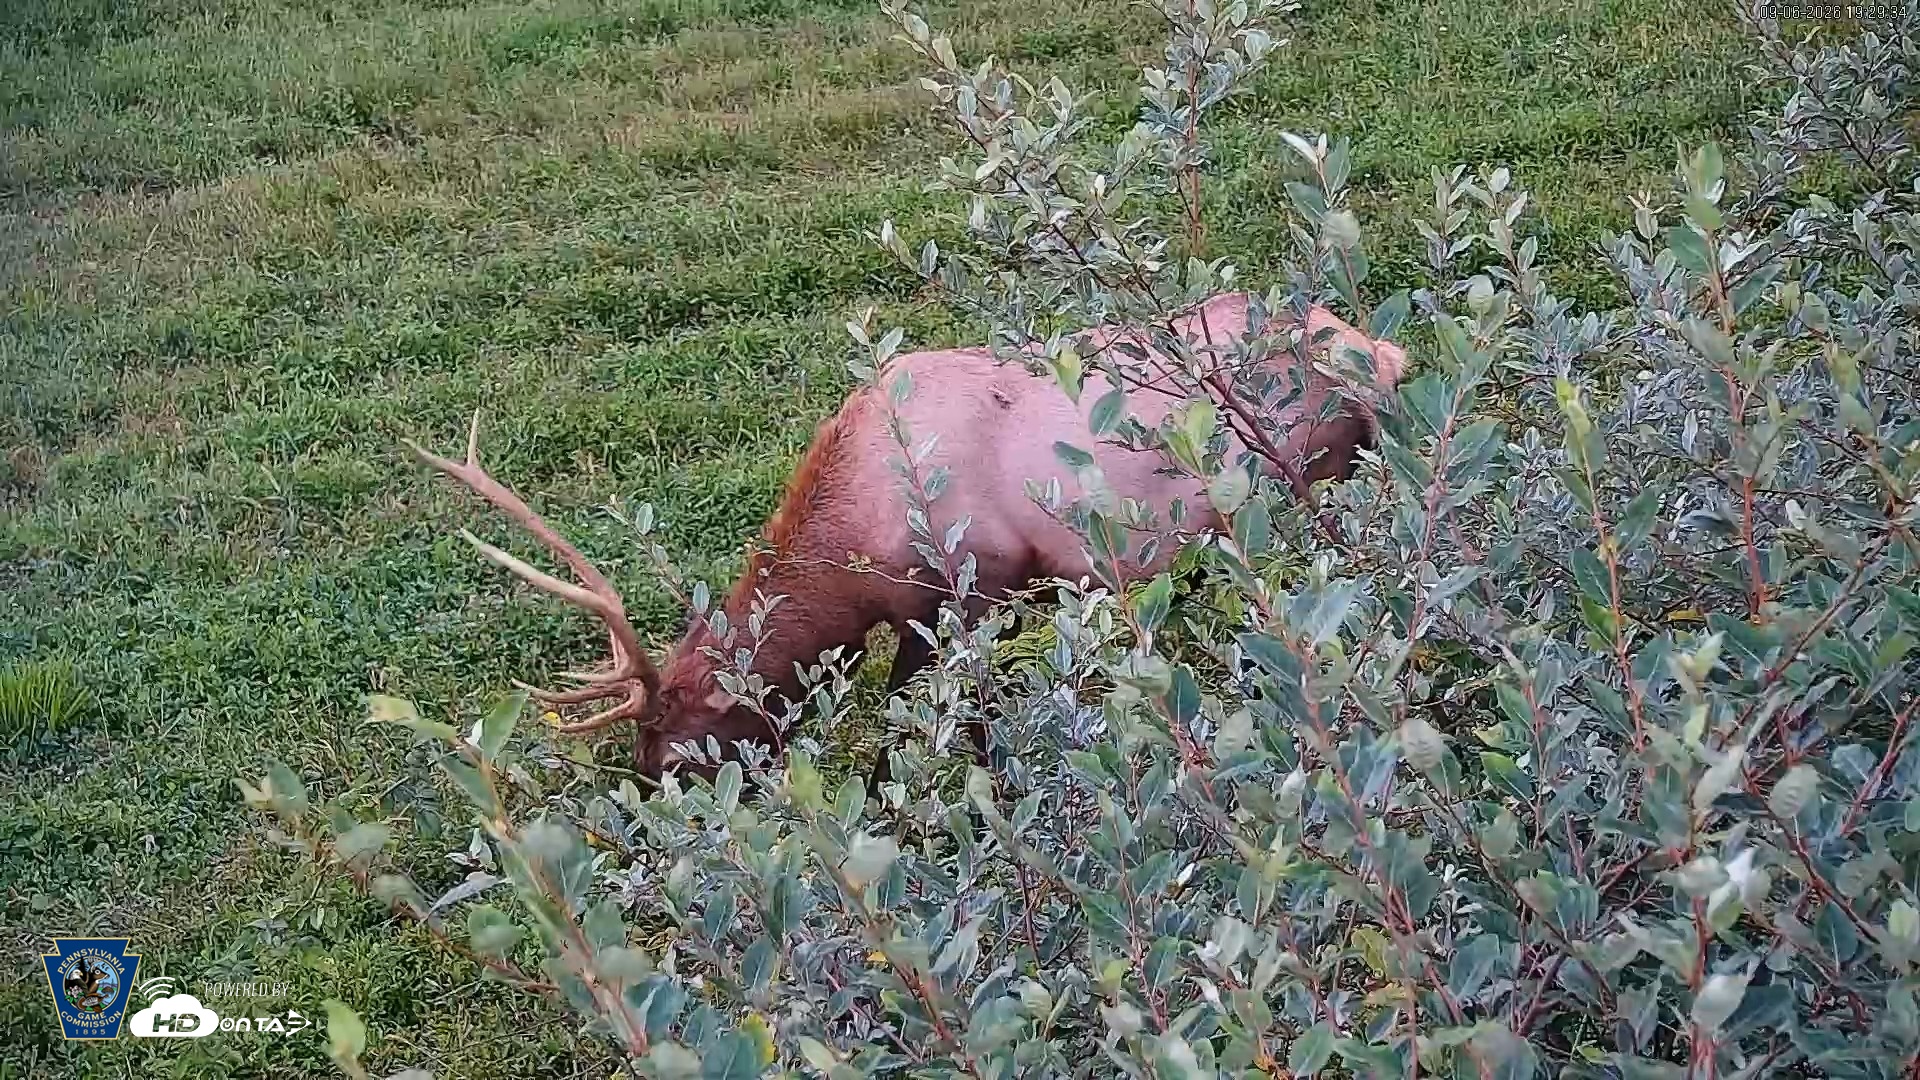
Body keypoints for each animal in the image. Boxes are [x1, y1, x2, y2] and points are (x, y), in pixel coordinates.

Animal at [406, 291, 1407, 786]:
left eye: (681, 754)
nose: (657, 819)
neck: (862, 534)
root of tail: (1385, 355)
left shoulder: (980, 583)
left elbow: (939, 718)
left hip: (1314, 478)